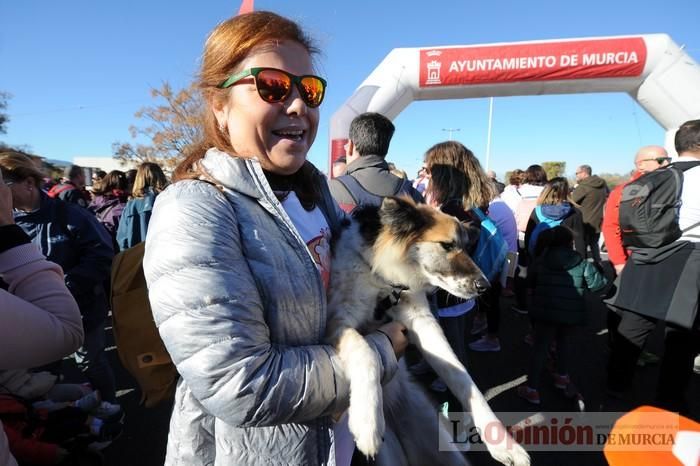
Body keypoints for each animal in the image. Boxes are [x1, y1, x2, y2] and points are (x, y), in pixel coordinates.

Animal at [328, 198, 532, 466]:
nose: (485, 286)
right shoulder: (338, 322)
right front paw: (367, 421)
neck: (382, 279)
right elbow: (365, 350)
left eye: (466, 246)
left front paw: (502, 442)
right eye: (447, 245)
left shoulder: (422, 321)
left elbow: (461, 375)